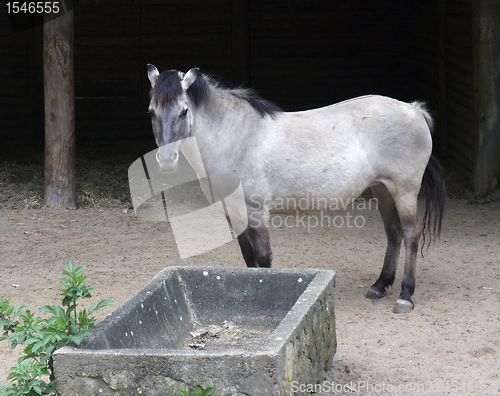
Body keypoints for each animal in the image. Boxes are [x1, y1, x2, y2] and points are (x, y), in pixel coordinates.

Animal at [145, 64, 446, 312]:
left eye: (184, 111)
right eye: (151, 111)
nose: (167, 160)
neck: (237, 136)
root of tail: (414, 108)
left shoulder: (256, 212)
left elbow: (263, 258)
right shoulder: (233, 212)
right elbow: (248, 257)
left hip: (404, 191)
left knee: (411, 234)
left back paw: (405, 295)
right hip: (382, 190)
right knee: (393, 232)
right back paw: (380, 285)